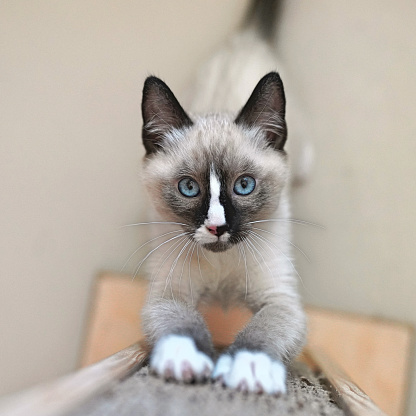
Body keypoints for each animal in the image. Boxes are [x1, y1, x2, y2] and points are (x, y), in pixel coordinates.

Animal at [140, 72, 306, 396]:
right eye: (189, 188)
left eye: (244, 185)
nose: (218, 227)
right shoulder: (170, 293)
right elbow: (181, 325)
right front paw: (183, 358)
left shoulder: (279, 299)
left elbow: (262, 330)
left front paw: (250, 369)